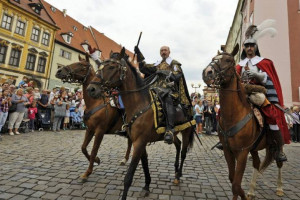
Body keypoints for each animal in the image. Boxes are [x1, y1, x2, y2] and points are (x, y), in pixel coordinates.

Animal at [55, 54, 132, 182]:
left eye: (81, 65)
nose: (59, 71)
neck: (96, 102)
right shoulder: (90, 129)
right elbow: (83, 148)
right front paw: (96, 160)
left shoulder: (99, 131)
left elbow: (93, 149)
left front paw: (88, 172)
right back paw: (125, 159)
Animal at [86, 48, 195, 200]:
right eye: (100, 65)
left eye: (112, 67)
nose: (91, 89)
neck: (139, 104)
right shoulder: (139, 142)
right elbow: (145, 164)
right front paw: (147, 186)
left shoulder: (139, 142)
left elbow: (129, 176)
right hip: (174, 133)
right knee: (178, 145)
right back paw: (175, 171)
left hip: (187, 131)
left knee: (184, 152)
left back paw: (178, 176)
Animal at [202, 44, 284, 200]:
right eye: (213, 58)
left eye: (228, 60)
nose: (207, 72)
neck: (233, 115)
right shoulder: (228, 150)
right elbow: (233, 180)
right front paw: (244, 195)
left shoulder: (242, 152)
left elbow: (236, 185)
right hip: (254, 148)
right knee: (257, 163)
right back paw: (251, 191)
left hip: (274, 143)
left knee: (279, 162)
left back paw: (279, 188)